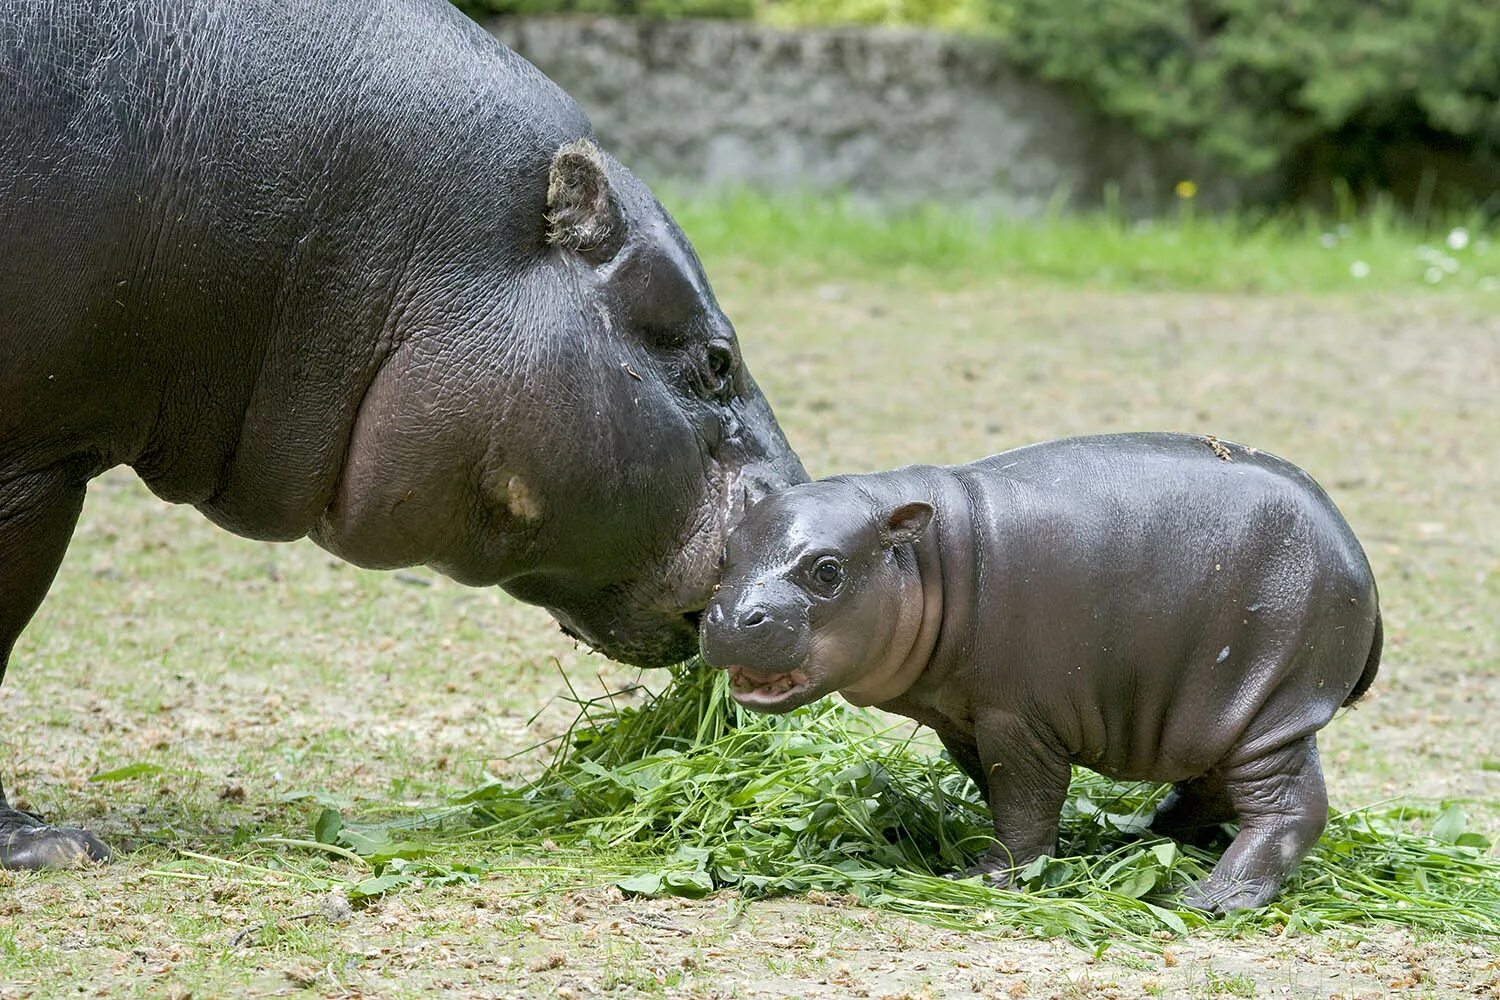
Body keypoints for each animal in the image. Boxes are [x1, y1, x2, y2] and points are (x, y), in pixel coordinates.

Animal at [702, 431, 1380, 917]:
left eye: (827, 570)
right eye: (726, 553)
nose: (732, 617)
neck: (928, 559)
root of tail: (1359, 555)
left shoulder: (1014, 716)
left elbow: (1025, 795)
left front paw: (988, 876)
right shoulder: (964, 717)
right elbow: (999, 788)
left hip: (1274, 702)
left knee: (1289, 807)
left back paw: (1211, 899)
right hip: (1216, 714)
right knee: (1212, 785)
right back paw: (1136, 836)